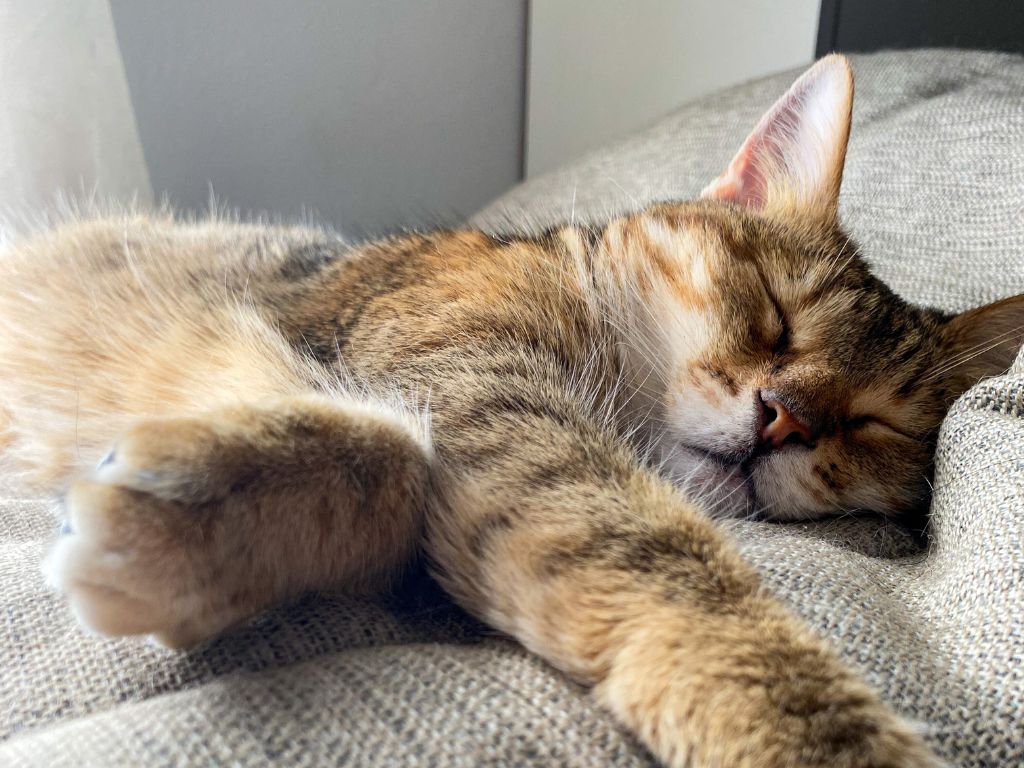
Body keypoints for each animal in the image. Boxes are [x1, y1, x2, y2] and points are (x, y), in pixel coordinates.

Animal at [0, 55, 1015, 768]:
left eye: (874, 422)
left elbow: (400, 469)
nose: (787, 418)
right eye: (774, 313)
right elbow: (407, 461)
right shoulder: (485, 398)